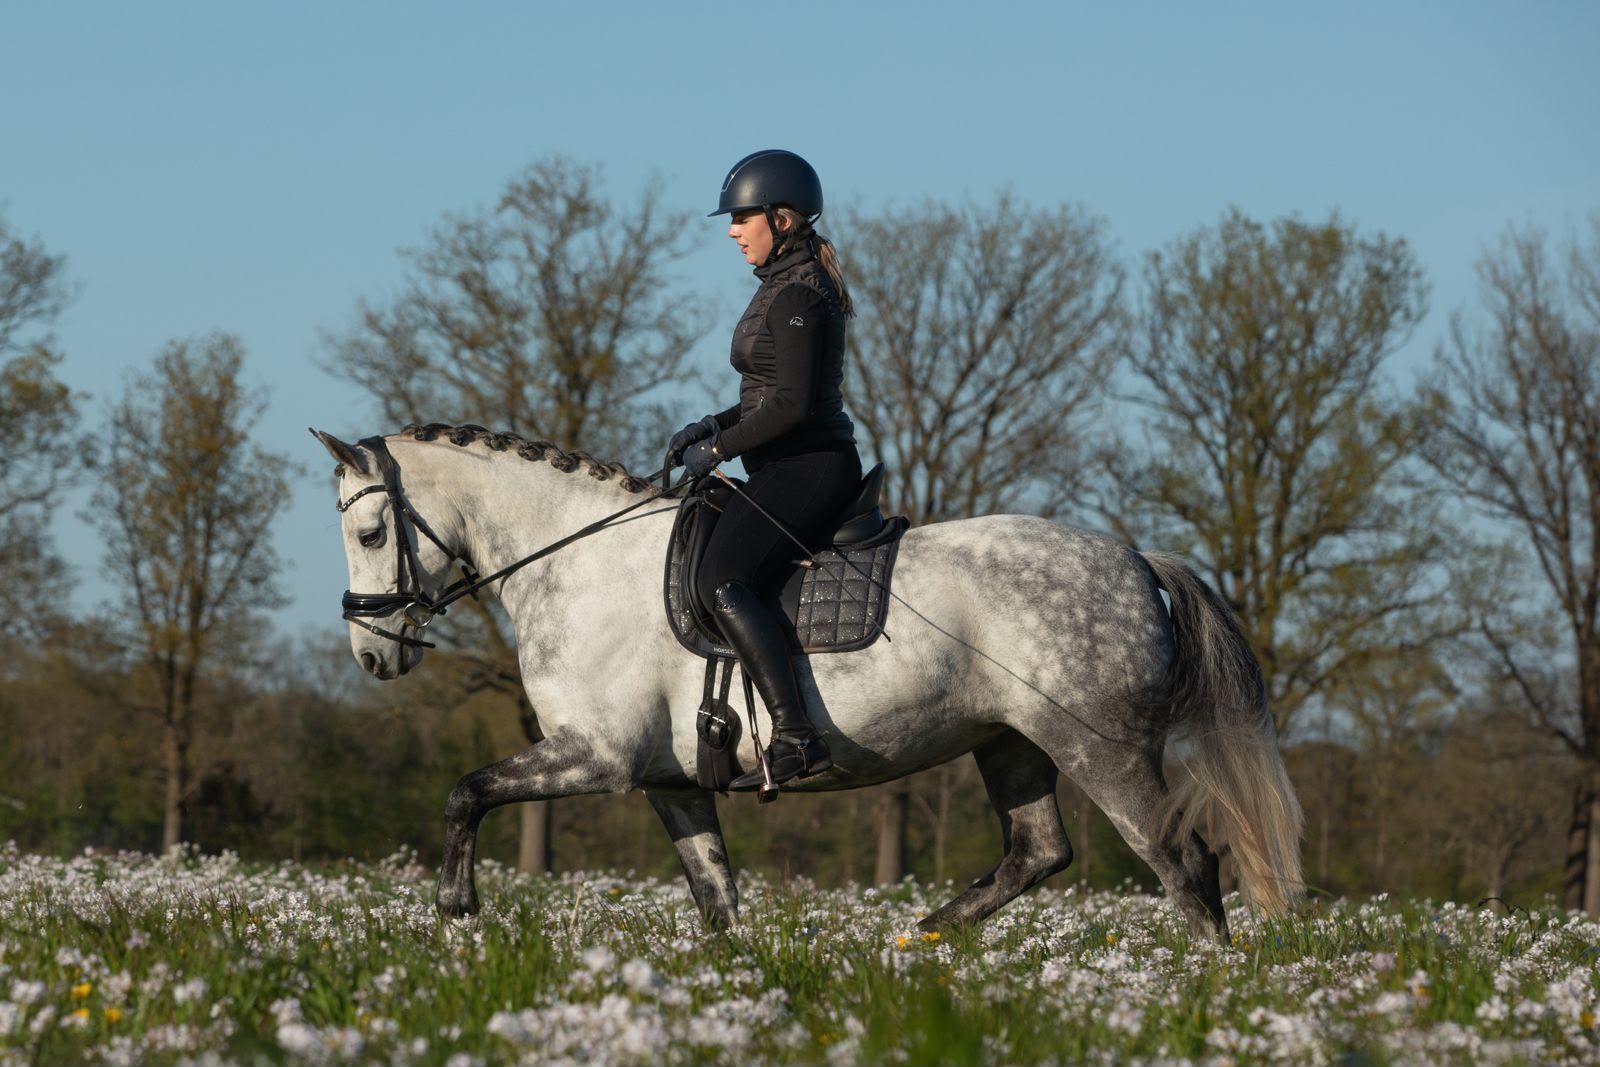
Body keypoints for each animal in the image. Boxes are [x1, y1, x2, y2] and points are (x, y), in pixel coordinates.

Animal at [311, 423, 1303, 942]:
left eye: (368, 532)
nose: (373, 654)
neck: (577, 560)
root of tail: (1135, 557)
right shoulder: (669, 781)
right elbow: (715, 897)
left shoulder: (595, 757)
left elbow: (465, 791)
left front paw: (457, 906)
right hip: (1012, 743)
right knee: (1037, 852)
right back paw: (920, 939)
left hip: (1101, 749)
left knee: (1183, 865)